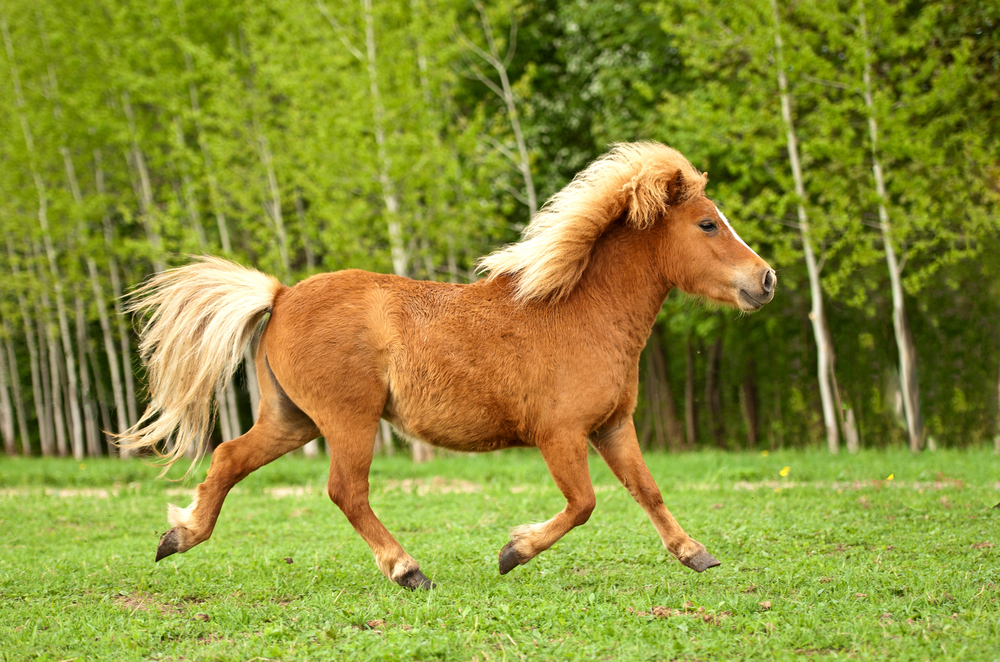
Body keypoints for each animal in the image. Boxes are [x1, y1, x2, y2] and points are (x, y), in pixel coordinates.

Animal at [121, 143, 776, 588]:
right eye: (707, 223)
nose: (766, 280)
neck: (581, 312)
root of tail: (280, 295)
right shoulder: (561, 435)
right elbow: (584, 504)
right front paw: (513, 551)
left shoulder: (613, 427)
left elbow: (647, 489)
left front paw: (695, 553)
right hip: (349, 421)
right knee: (345, 491)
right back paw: (407, 570)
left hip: (292, 420)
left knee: (230, 458)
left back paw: (178, 536)